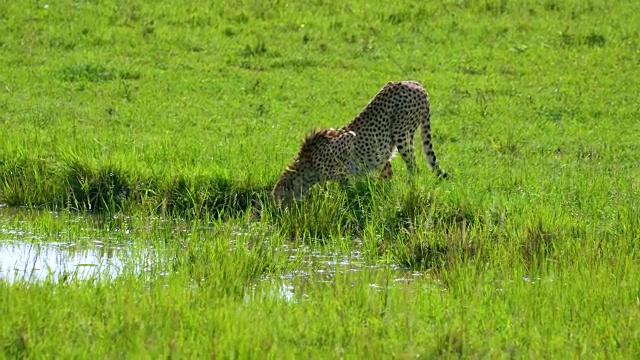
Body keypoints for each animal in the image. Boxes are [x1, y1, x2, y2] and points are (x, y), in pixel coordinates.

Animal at [272, 81, 448, 202]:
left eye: (279, 200)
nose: (278, 211)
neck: (308, 163)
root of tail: (415, 83)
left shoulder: (346, 145)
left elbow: (346, 188)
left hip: (402, 134)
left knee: (413, 167)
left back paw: (410, 187)